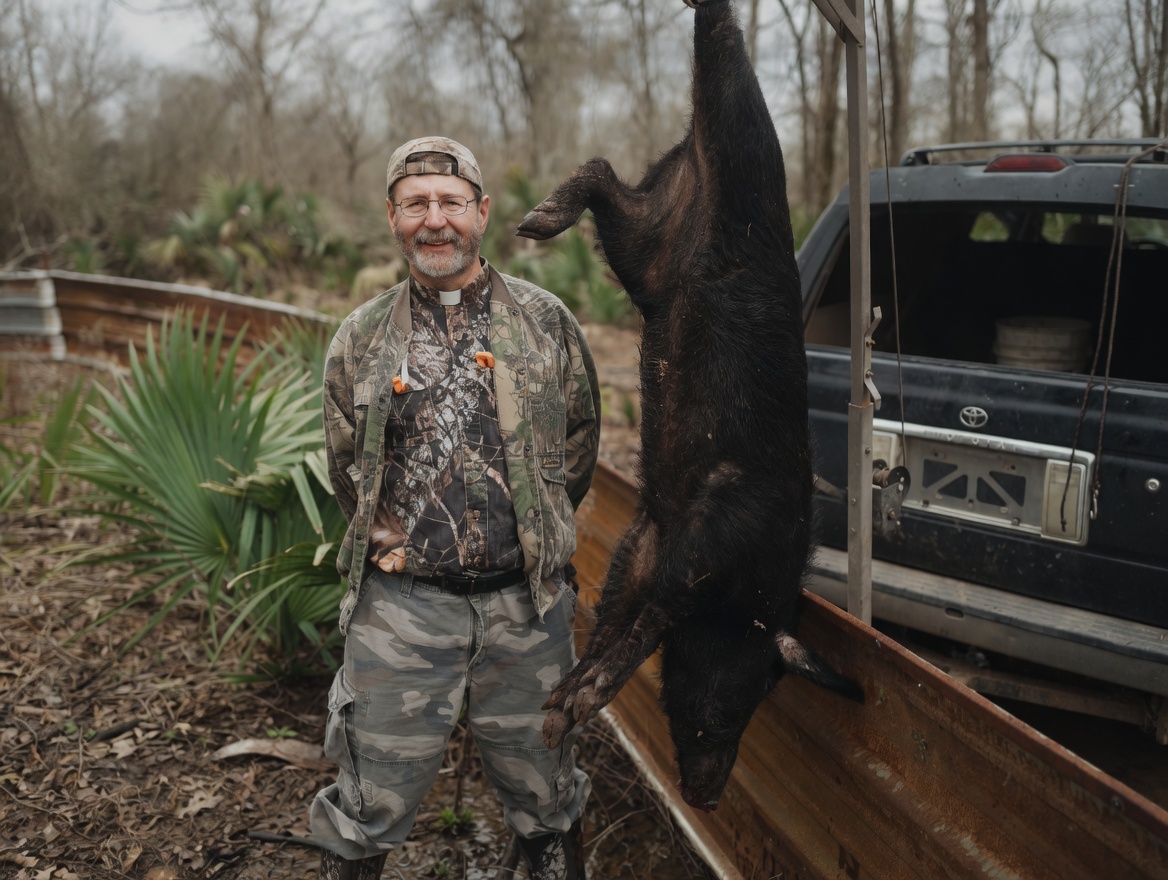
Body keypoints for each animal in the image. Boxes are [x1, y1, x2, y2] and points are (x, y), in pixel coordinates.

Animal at [516, 0, 862, 812]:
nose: (707, 797)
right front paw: (571, 708)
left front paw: (556, 712)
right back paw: (533, 225)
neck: (749, 590)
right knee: (713, 50)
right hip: (731, 147)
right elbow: (649, 622)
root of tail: (688, 155)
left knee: (604, 173)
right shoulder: (702, 544)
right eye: (743, 694)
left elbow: (616, 609)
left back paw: (534, 221)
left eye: (764, 698)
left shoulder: (645, 540)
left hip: (646, 244)